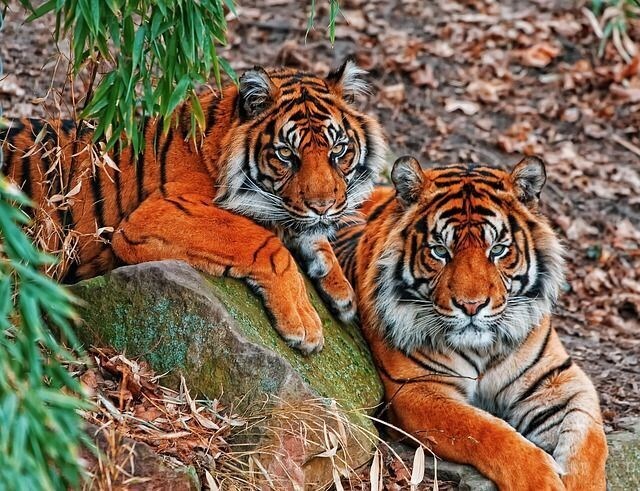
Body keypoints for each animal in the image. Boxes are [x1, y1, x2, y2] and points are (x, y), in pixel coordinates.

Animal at [0, 59, 387, 354]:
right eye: (286, 154)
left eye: (338, 150)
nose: (323, 207)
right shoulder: (157, 214)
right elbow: (265, 243)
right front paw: (304, 322)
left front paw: (341, 290)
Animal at [333, 156, 607, 490]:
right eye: (440, 251)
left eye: (498, 250)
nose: (471, 306)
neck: (483, 349)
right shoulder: (415, 389)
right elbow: (483, 429)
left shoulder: (558, 381)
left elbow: (590, 442)